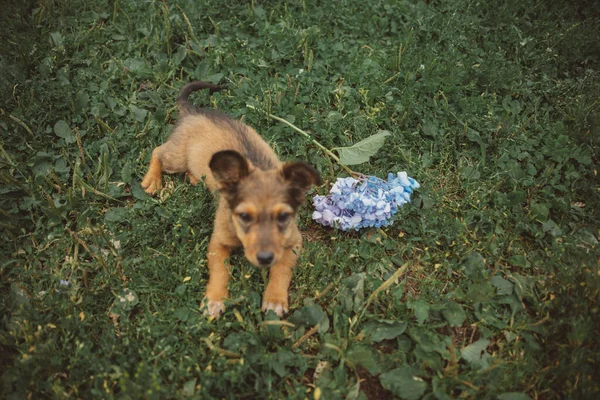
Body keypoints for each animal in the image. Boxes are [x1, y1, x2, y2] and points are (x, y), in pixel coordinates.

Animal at [142, 82, 318, 318]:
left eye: (283, 216)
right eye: (244, 216)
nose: (264, 258)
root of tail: (194, 112)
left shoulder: (293, 243)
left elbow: (281, 271)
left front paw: (274, 299)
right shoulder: (218, 241)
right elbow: (220, 271)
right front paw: (215, 299)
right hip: (176, 157)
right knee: (157, 151)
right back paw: (152, 180)